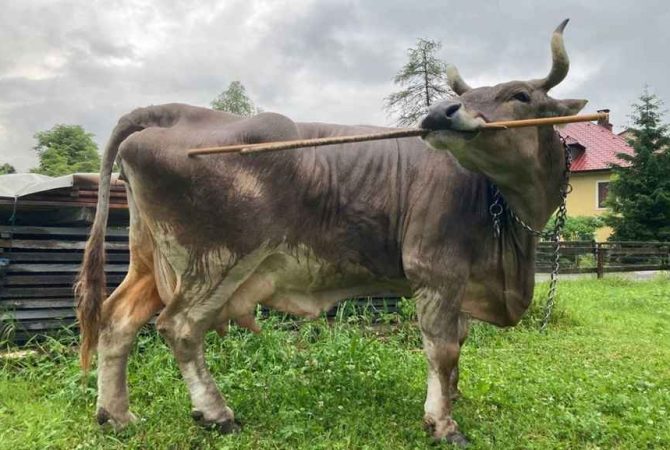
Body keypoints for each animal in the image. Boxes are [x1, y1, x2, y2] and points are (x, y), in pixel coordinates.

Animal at [76, 20, 587, 445]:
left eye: (520, 95)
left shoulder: (463, 281)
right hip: (216, 261)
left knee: (117, 321)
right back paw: (216, 413)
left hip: (152, 261)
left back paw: (116, 415)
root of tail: (173, 111)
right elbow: (441, 350)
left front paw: (452, 399)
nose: (441, 112)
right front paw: (443, 423)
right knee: (180, 327)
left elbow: (457, 344)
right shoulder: (435, 271)